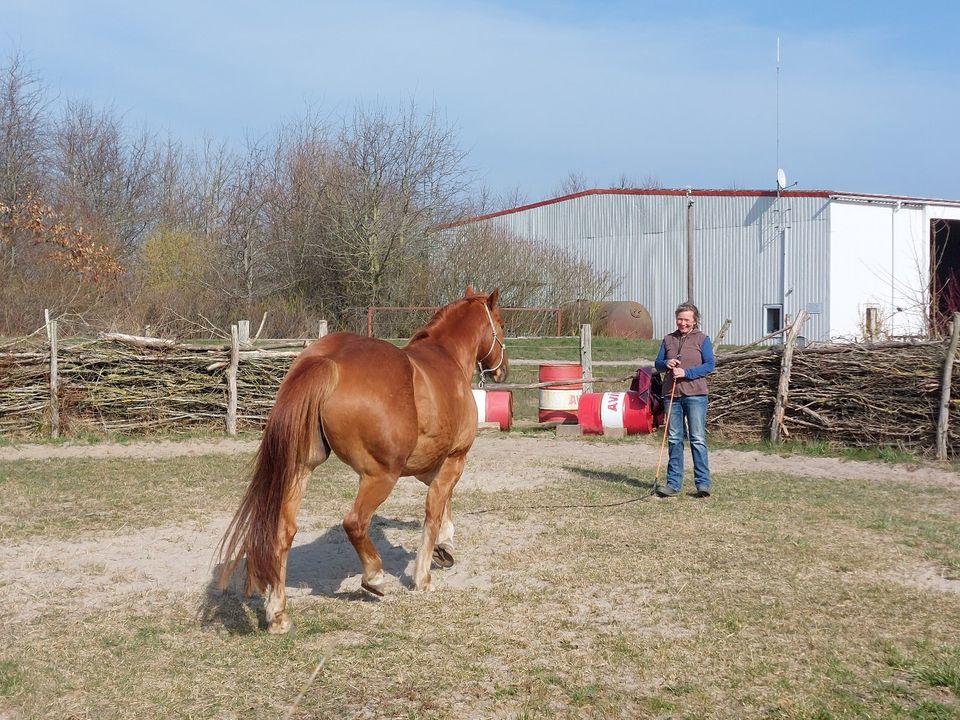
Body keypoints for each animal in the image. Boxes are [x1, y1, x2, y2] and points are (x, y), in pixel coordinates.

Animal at [214, 290, 506, 632]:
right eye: (501, 324)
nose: (502, 370)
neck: (446, 357)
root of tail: (329, 360)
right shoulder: (455, 458)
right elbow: (434, 512)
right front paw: (423, 574)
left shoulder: (429, 464)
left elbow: (443, 503)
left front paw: (444, 547)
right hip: (380, 476)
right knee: (354, 522)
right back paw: (374, 577)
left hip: (301, 468)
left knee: (283, 531)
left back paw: (277, 613)